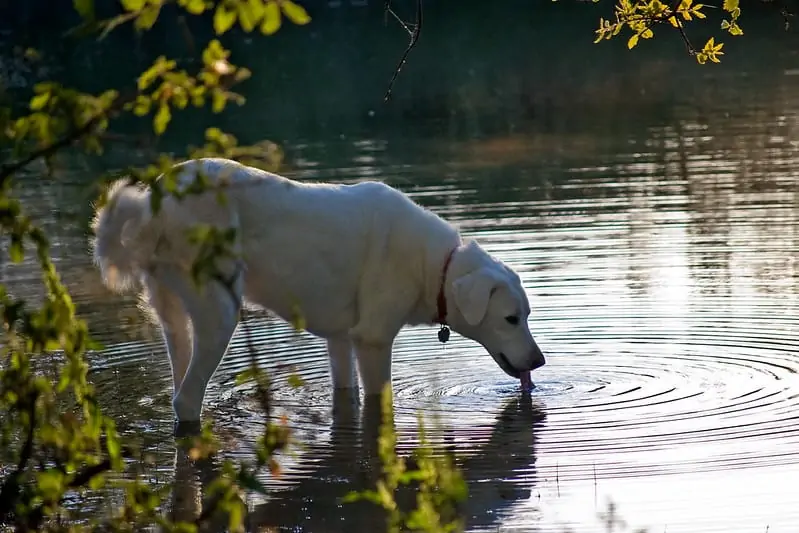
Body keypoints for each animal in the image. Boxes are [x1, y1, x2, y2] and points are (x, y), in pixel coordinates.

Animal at [90, 157, 548, 420]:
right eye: (511, 319)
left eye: (528, 316)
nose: (540, 363)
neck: (435, 266)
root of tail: (153, 205)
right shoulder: (373, 340)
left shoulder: (341, 340)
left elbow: (347, 393)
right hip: (218, 313)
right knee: (187, 399)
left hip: (174, 315)